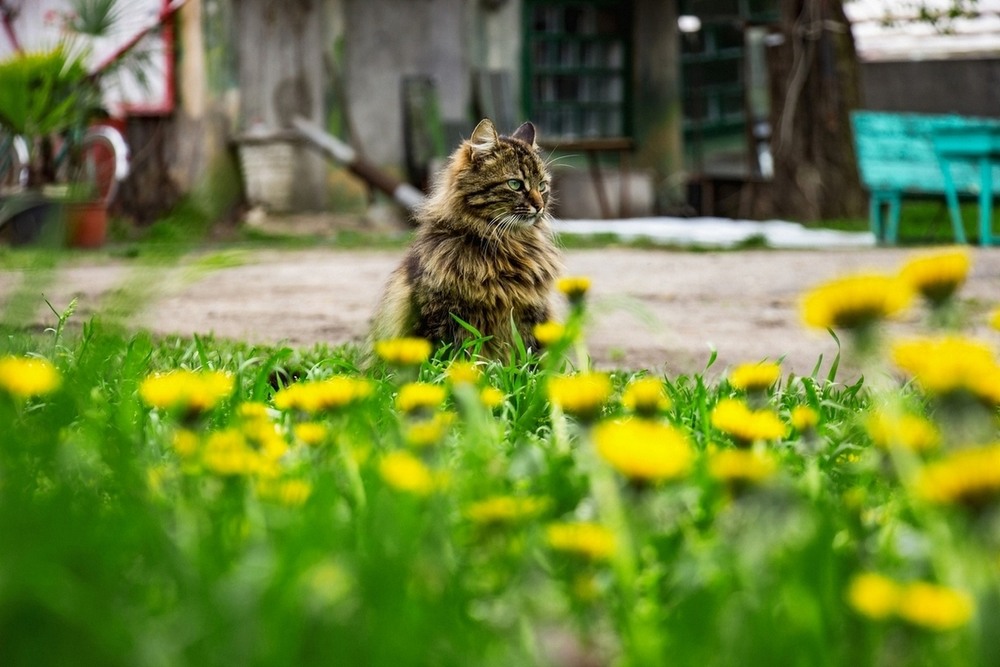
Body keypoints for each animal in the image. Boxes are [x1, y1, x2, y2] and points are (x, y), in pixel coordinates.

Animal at [372, 117, 568, 358]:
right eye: (515, 184)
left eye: (542, 186)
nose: (540, 206)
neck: (505, 244)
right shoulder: (440, 316)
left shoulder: (532, 316)